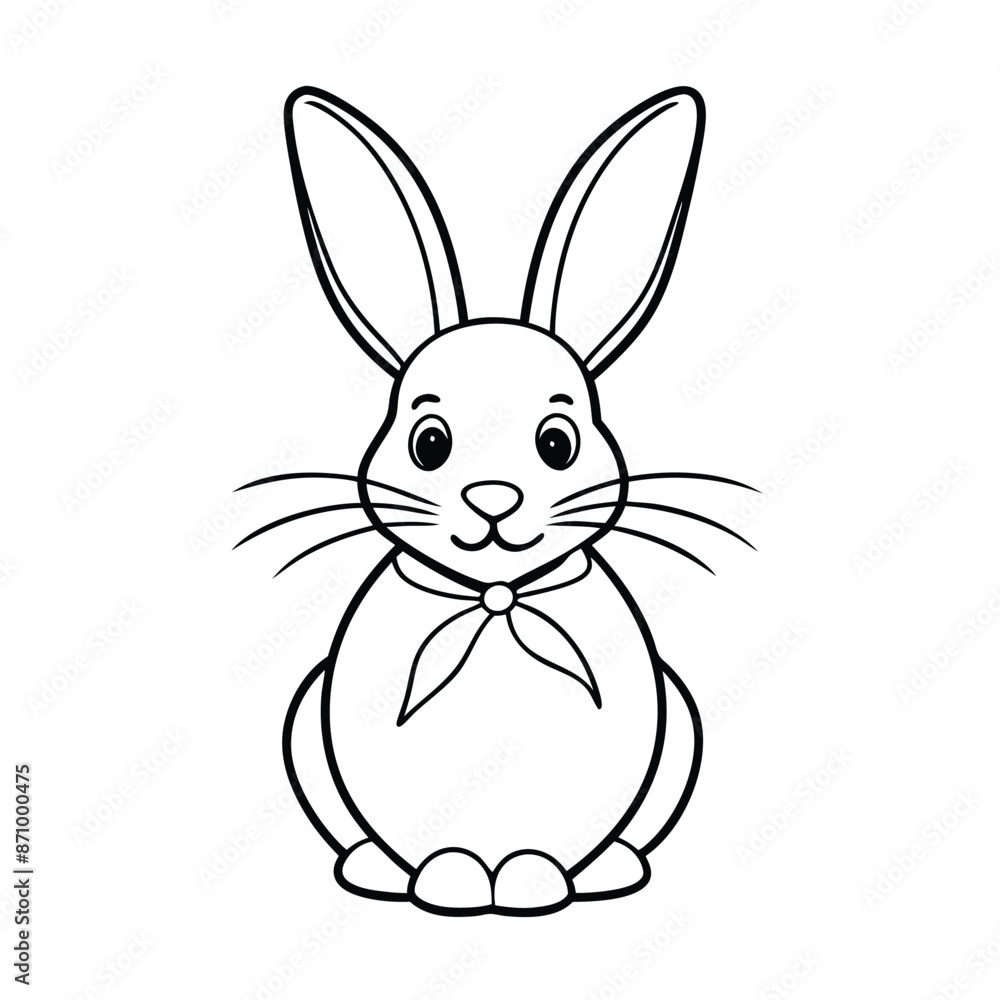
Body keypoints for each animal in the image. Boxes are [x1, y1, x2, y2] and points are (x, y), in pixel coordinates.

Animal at [239, 85, 754, 916]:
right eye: (429, 443)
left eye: (557, 443)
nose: (492, 499)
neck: (496, 596)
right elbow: (436, 846)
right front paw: (449, 880)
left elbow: (544, 847)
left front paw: (529, 882)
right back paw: (378, 870)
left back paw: (605, 872)